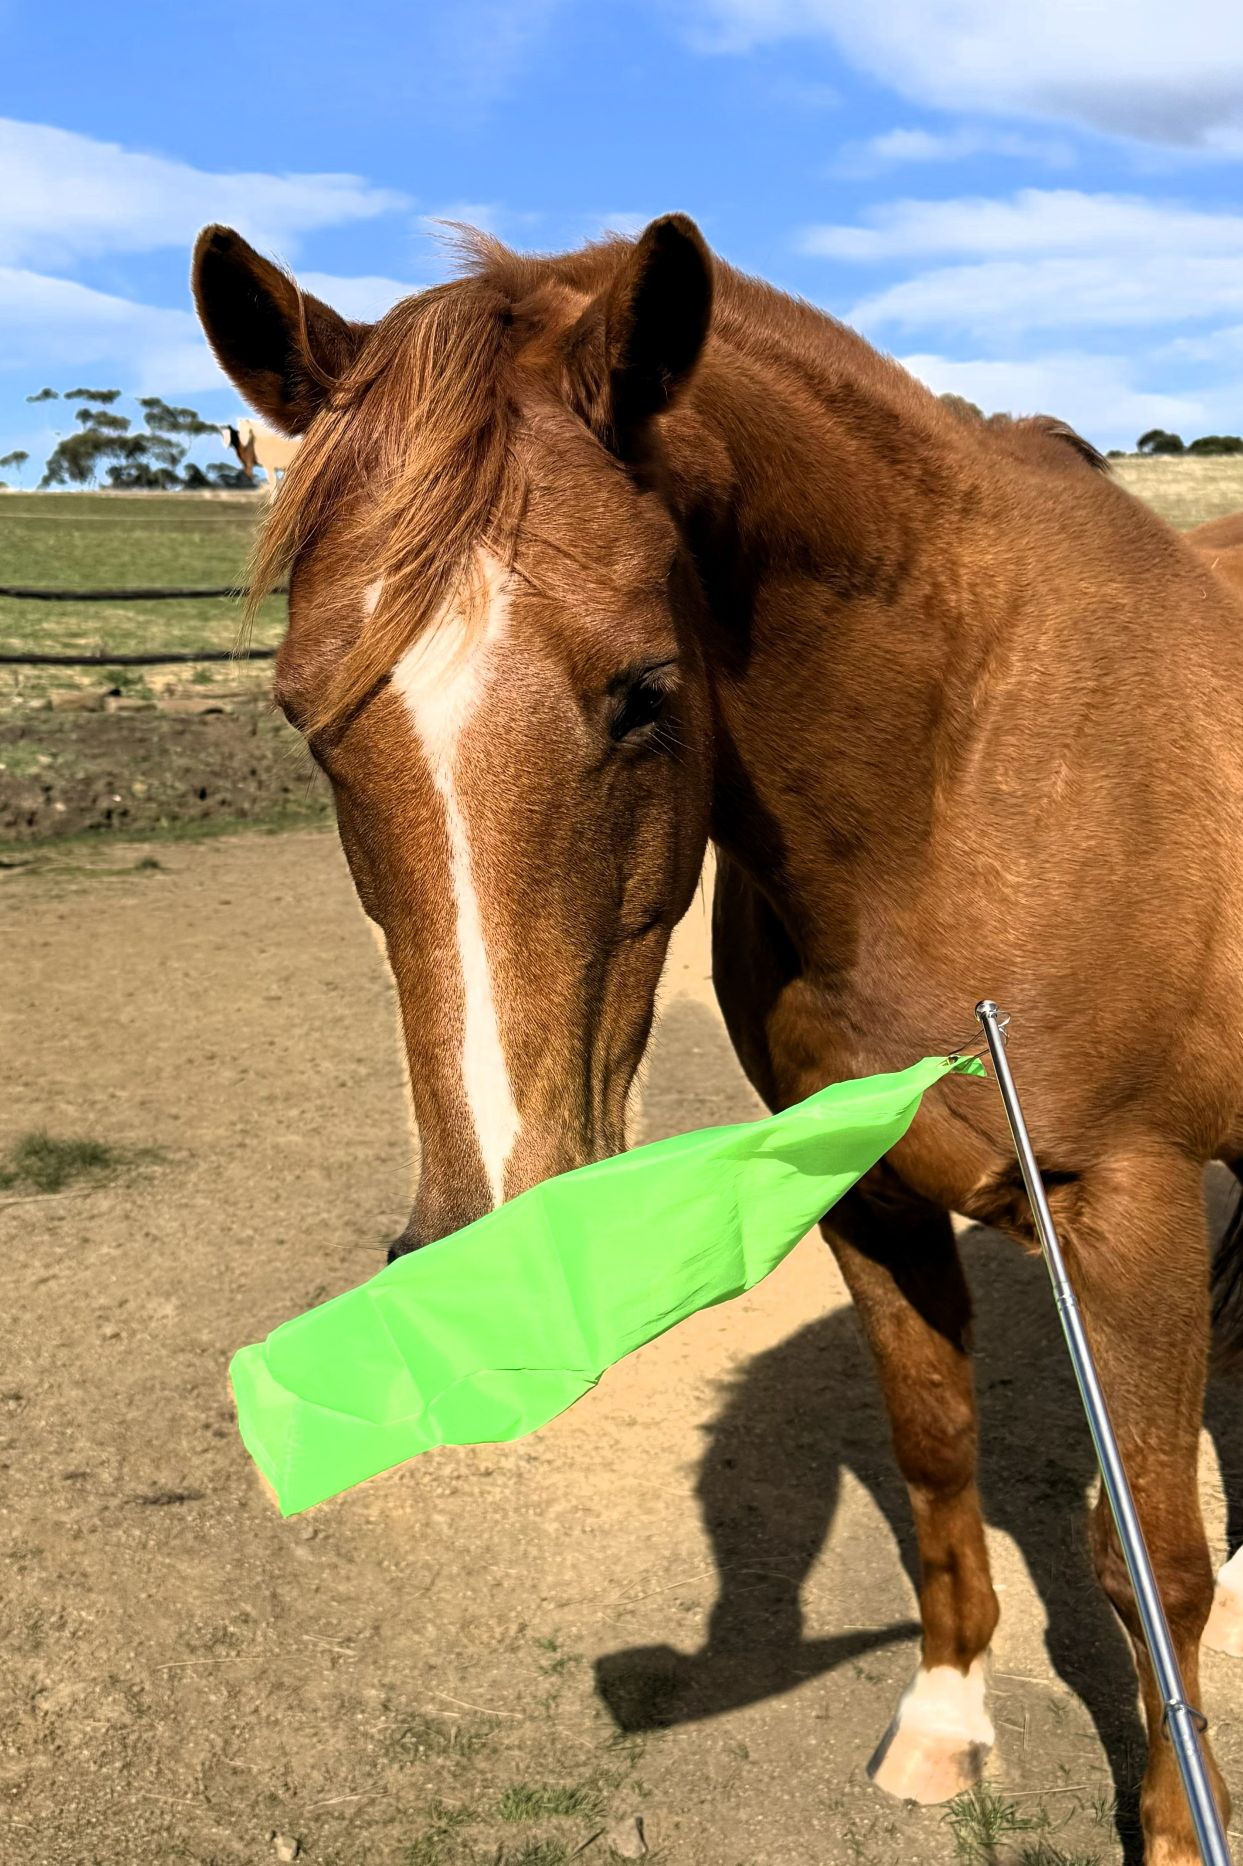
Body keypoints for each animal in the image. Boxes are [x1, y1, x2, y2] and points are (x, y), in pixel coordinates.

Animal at [192, 216, 1243, 1865]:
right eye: (308, 712)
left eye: (644, 691)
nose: (496, 1254)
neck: (972, 775)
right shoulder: (870, 1199)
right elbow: (934, 1457)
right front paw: (943, 1718)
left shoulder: (1124, 1213)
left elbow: (1145, 1549)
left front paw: (1174, 1819)